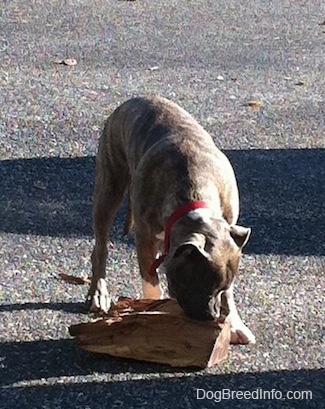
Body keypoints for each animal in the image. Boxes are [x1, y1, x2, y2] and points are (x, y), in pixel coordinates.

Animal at [87, 96, 254, 344]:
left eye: (221, 287)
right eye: (198, 284)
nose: (212, 315)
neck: (194, 200)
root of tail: (135, 99)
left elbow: (230, 296)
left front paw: (234, 324)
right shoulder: (144, 238)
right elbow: (151, 281)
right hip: (108, 188)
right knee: (100, 248)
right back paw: (99, 293)